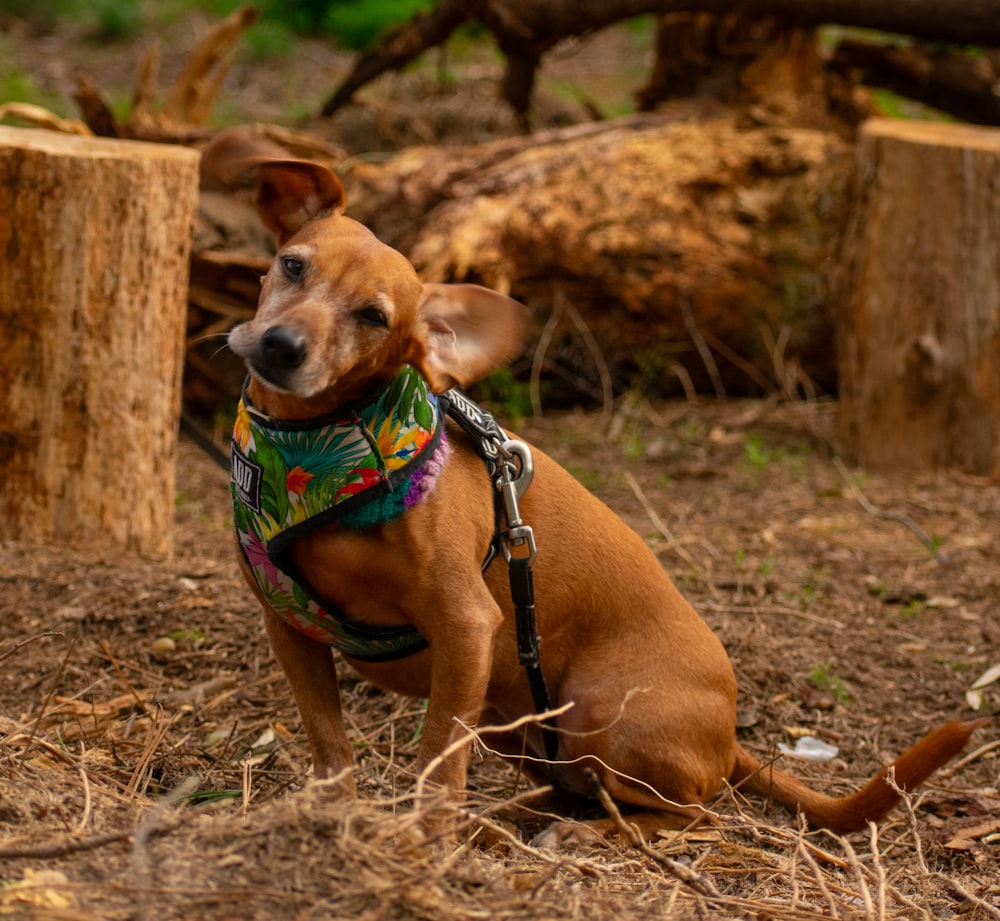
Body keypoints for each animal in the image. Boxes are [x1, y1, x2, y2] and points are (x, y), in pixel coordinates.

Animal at [211, 133, 984, 836]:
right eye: (291, 265)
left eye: (373, 317)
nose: (281, 344)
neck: (317, 448)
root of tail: (732, 737)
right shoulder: (290, 628)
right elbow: (331, 747)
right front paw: (329, 822)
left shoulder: (465, 628)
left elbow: (437, 763)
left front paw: (422, 849)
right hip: (515, 722)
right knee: (573, 788)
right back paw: (513, 817)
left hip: (594, 712)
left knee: (685, 814)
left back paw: (579, 831)